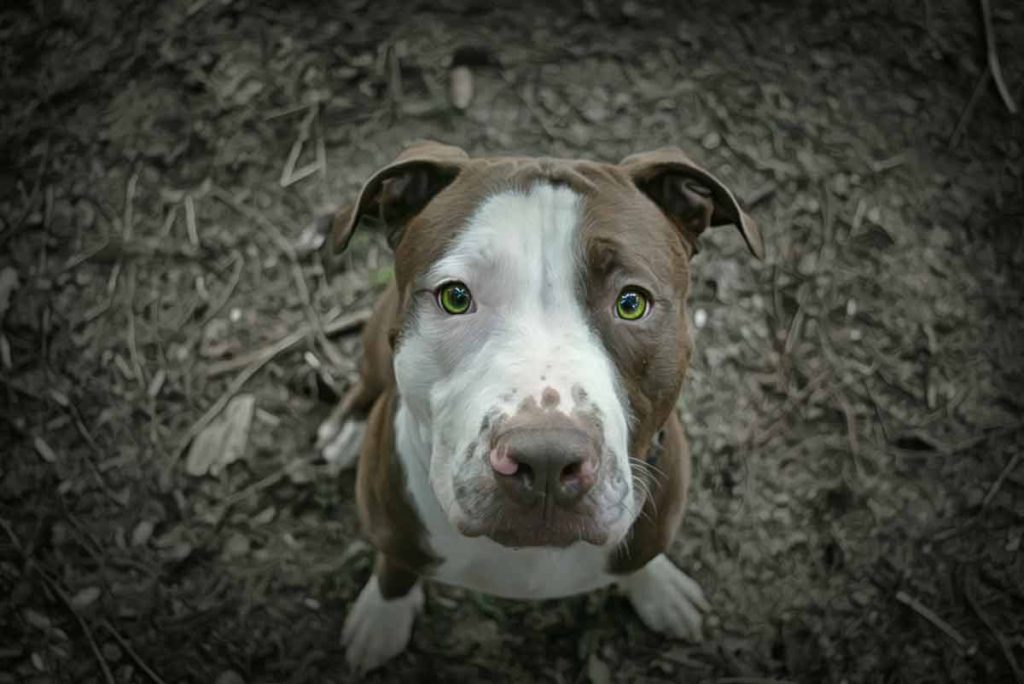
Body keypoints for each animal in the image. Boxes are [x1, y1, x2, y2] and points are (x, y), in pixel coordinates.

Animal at [315, 140, 765, 671]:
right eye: (455, 297)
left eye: (632, 302)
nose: (547, 460)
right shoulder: (394, 526)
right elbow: (396, 570)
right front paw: (381, 618)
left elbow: (643, 557)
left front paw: (660, 590)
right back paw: (345, 429)